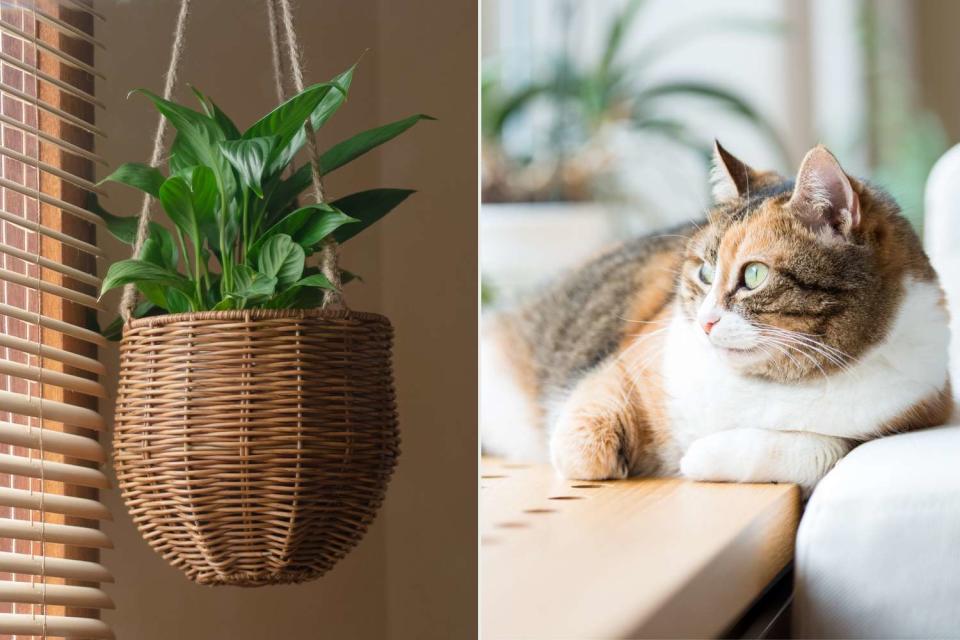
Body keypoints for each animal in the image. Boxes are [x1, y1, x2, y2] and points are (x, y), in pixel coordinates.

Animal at [480, 142, 952, 490]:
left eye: (754, 275)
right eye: (705, 272)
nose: (706, 322)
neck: (766, 385)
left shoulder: (920, 409)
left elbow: (824, 450)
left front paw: (700, 457)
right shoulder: (626, 365)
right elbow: (582, 449)